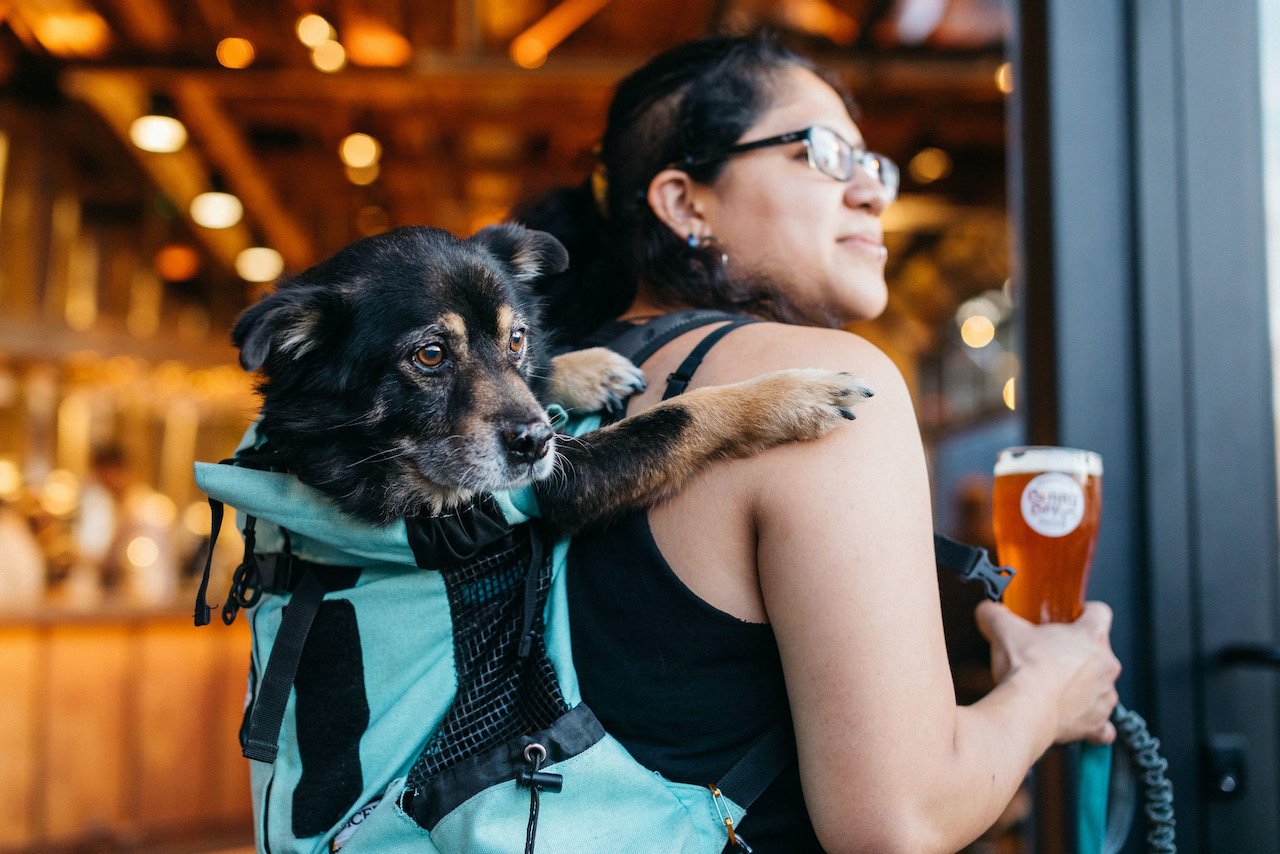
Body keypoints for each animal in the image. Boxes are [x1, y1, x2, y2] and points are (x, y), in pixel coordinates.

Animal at [230, 226, 875, 535]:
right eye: (430, 355)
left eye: (517, 339)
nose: (537, 443)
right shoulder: (557, 487)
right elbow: (682, 413)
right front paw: (798, 392)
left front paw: (584, 367)